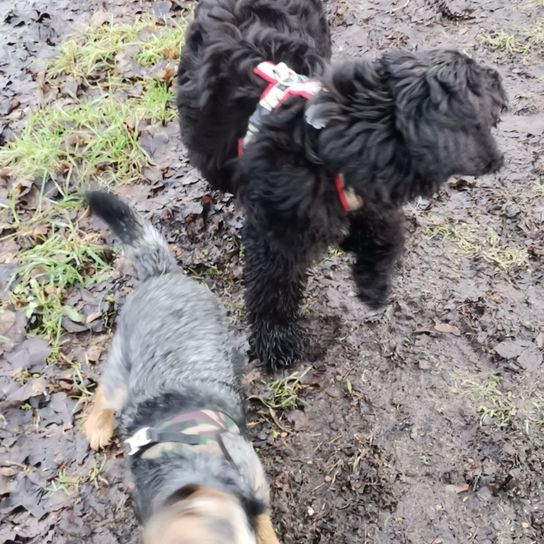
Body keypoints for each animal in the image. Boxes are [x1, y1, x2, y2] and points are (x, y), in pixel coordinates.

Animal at [84, 191, 280, 544]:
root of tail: (161, 273)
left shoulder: (254, 485)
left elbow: (264, 524)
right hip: (121, 368)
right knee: (104, 395)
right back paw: (97, 425)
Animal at [176, 0, 508, 372]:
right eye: (476, 78)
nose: (496, 75)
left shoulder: (369, 197)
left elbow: (385, 233)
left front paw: (373, 281)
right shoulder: (277, 234)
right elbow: (272, 288)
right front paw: (275, 340)